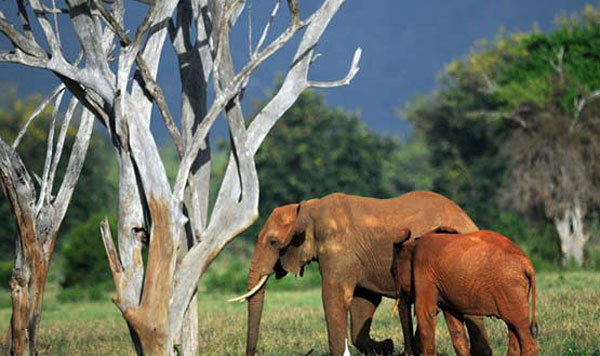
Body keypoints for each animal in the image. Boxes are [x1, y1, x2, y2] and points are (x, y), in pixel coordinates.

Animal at [230, 192, 492, 356]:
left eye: (273, 242)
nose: (251, 354)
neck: (308, 208)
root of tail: (469, 220)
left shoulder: (339, 250)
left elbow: (335, 299)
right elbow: (362, 303)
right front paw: (387, 347)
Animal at [392, 228, 540, 356]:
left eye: (394, 274)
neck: (412, 245)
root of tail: (527, 264)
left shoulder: (424, 272)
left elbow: (426, 312)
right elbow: (453, 320)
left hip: (511, 289)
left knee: (520, 329)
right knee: (513, 329)